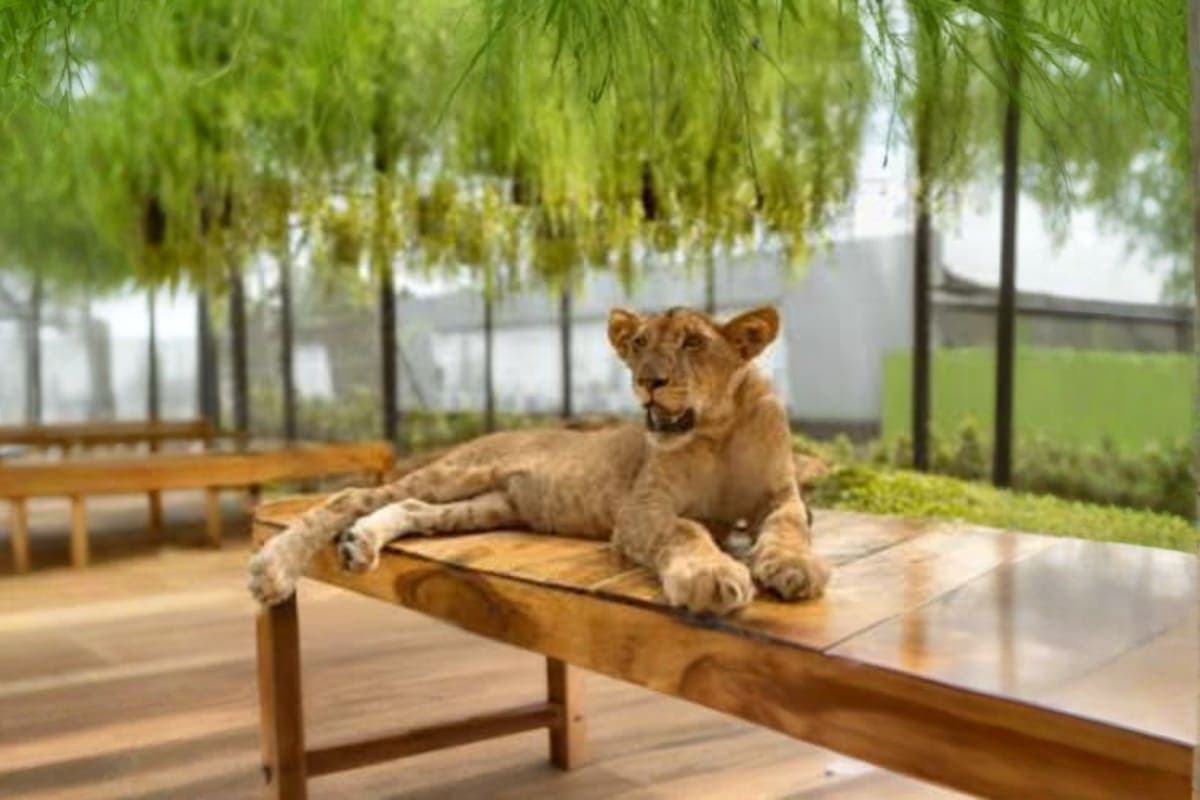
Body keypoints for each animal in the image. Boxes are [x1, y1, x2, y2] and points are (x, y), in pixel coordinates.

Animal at [248, 305, 831, 615]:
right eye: (639, 343)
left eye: (692, 342)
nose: (649, 380)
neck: (717, 431)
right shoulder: (641, 510)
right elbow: (686, 531)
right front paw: (712, 578)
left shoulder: (782, 497)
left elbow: (788, 527)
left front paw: (794, 568)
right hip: (458, 473)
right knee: (352, 496)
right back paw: (273, 569)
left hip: (488, 505)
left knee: (411, 508)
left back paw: (359, 544)